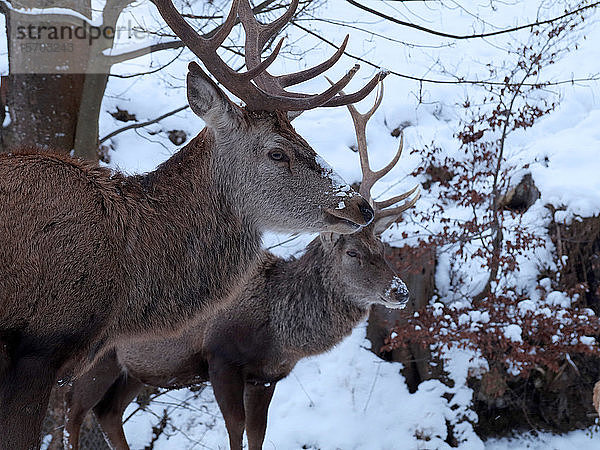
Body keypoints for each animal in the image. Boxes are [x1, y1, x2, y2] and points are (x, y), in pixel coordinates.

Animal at [64, 81, 418, 450]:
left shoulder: (266, 377)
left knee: (109, 412)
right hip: (98, 358)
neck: (278, 333)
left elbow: (258, 433)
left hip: (140, 368)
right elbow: (235, 428)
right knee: (74, 411)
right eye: (352, 253)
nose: (400, 291)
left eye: (382, 248)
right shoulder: (221, 358)